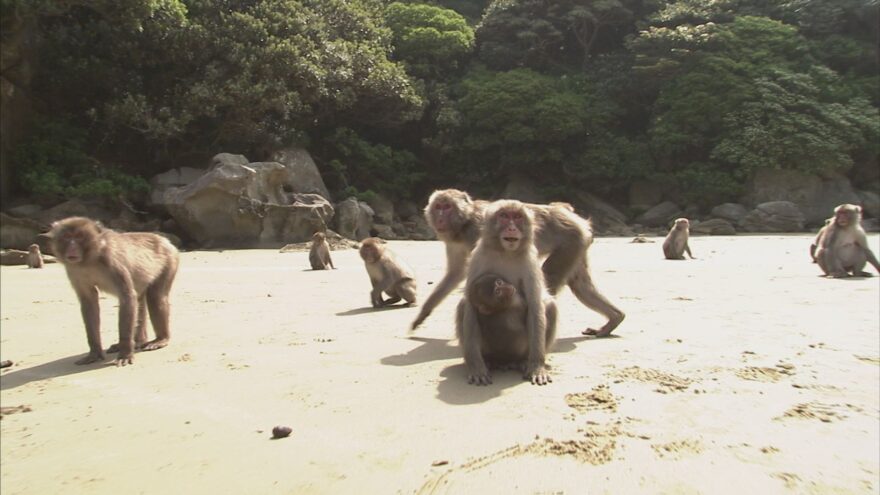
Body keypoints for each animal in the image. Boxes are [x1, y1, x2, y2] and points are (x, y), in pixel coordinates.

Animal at [49, 218, 180, 368]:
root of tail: (164, 240)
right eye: (67, 237)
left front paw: (125, 353)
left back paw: (161, 339)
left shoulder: (113, 262)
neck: (90, 260)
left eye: (79, 237)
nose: (72, 247)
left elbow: (127, 297)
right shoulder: (73, 271)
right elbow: (89, 302)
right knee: (140, 300)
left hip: (169, 260)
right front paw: (94, 353)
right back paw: (138, 341)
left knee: (155, 298)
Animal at [410, 189, 624, 338]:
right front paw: (423, 313)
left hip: (572, 239)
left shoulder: (478, 232)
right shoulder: (455, 241)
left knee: (548, 277)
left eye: (447, 207)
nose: (439, 218)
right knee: (581, 286)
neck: (465, 223)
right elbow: (456, 273)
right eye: (438, 206)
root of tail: (569, 214)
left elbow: (478, 274)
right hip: (578, 244)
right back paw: (614, 319)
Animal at [460, 200, 552, 386]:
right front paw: (476, 367)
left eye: (517, 217)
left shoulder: (530, 261)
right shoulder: (477, 257)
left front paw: (537, 366)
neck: (506, 252)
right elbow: (470, 306)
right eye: (504, 216)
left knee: (550, 305)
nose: (511, 228)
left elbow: (535, 306)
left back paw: (523, 361)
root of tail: (505, 361)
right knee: (462, 305)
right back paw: (489, 361)